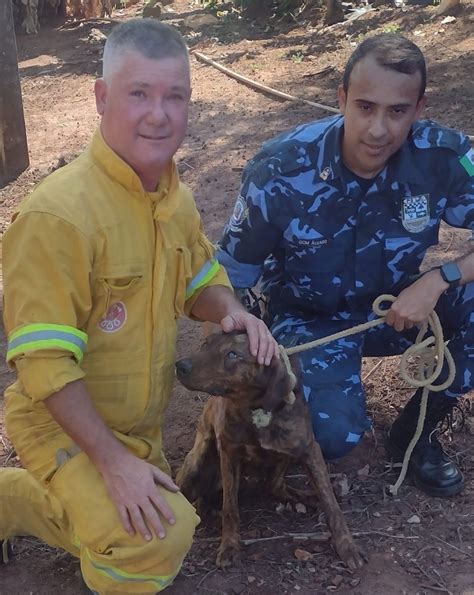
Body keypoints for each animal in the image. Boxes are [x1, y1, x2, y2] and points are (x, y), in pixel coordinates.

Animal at [176, 332, 364, 572]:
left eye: (232, 354)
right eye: (206, 343)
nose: (180, 366)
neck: (256, 409)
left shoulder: (309, 450)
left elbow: (331, 505)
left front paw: (347, 546)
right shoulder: (228, 453)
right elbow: (230, 508)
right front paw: (229, 546)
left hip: (285, 458)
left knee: (273, 486)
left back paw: (306, 496)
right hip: (196, 465)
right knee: (194, 500)